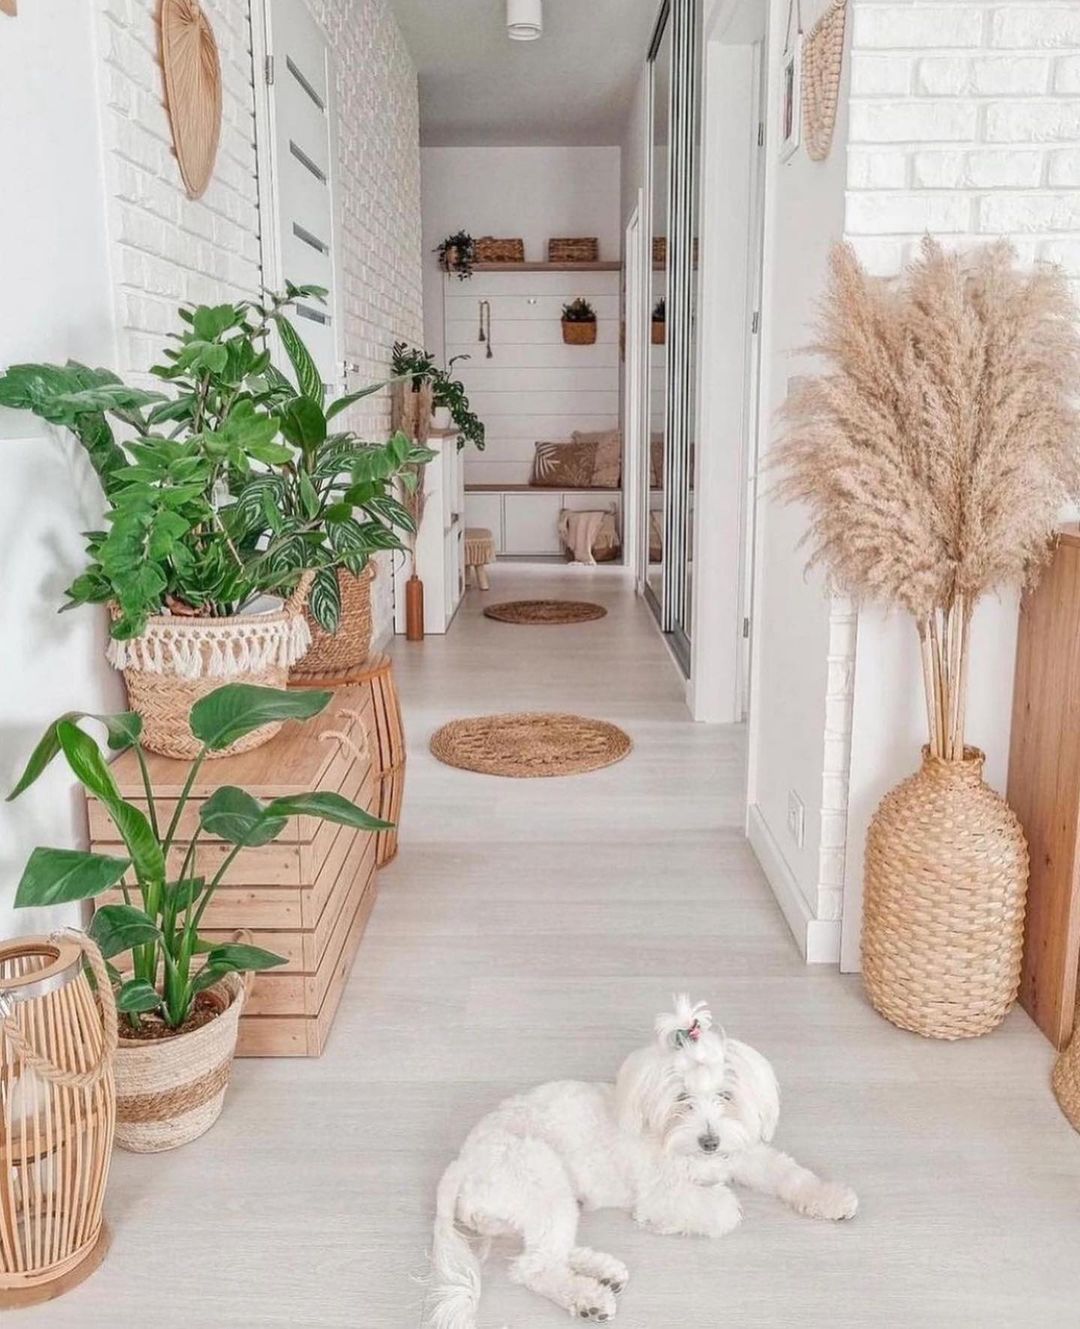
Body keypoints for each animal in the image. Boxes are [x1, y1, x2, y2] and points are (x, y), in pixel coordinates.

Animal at [425, 994, 855, 1323]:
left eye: (725, 1095)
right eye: (682, 1098)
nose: (709, 1142)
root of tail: (461, 1163)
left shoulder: (743, 1154)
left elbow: (789, 1174)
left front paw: (830, 1197)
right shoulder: (662, 1194)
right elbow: (722, 1209)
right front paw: (706, 1207)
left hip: (539, 1204)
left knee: (544, 1248)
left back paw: (604, 1271)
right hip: (539, 1180)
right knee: (534, 1265)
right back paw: (590, 1298)